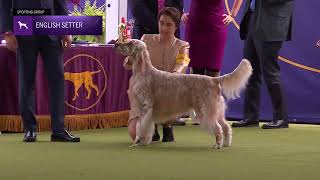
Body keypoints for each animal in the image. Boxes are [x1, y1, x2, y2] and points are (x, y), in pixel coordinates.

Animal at [114, 39, 251, 149]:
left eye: (130, 43)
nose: (116, 44)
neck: (143, 71)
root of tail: (214, 80)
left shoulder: (145, 107)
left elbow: (140, 126)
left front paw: (139, 141)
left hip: (206, 111)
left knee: (218, 128)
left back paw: (217, 145)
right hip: (217, 111)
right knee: (226, 127)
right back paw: (226, 144)